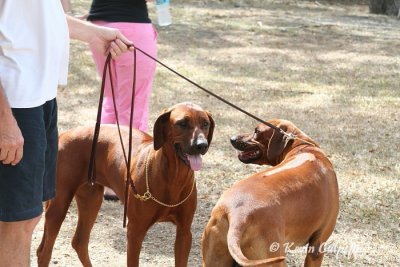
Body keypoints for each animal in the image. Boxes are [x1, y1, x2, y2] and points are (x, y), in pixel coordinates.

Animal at [36, 101, 214, 266]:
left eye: (205, 124)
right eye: (182, 123)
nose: (201, 145)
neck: (173, 178)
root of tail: (64, 134)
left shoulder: (184, 233)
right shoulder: (135, 232)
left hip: (91, 200)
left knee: (79, 242)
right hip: (59, 204)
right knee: (44, 252)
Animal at [202, 120, 340, 267]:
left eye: (257, 131)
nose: (232, 138)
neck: (304, 148)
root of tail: (237, 216)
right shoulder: (317, 245)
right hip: (274, 256)